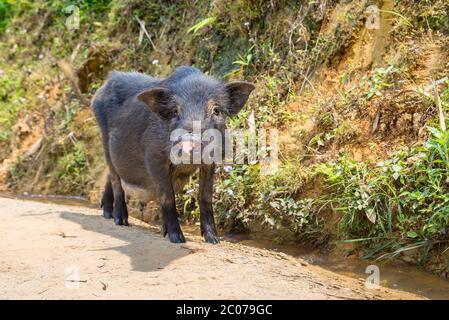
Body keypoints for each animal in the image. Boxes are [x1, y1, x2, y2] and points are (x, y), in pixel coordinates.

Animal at [92, 67, 252, 242]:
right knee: (116, 181)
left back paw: (108, 214)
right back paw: (121, 221)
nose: (190, 140)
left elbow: (205, 196)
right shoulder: (154, 157)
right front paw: (177, 238)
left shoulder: (211, 161)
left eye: (216, 110)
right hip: (105, 143)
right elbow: (167, 196)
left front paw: (214, 240)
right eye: (175, 111)